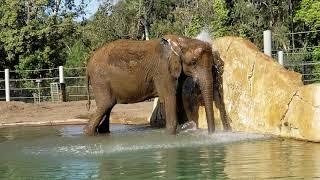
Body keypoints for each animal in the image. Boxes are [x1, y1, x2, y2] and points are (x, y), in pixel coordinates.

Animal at [84, 34, 216, 135]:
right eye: (193, 62)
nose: (211, 134)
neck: (181, 41)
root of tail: (88, 65)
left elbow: (178, 97)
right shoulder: (163, 71)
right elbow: (170, 98)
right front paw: (170, 133)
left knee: (107, 107)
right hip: (100, 80)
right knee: (106, 104)